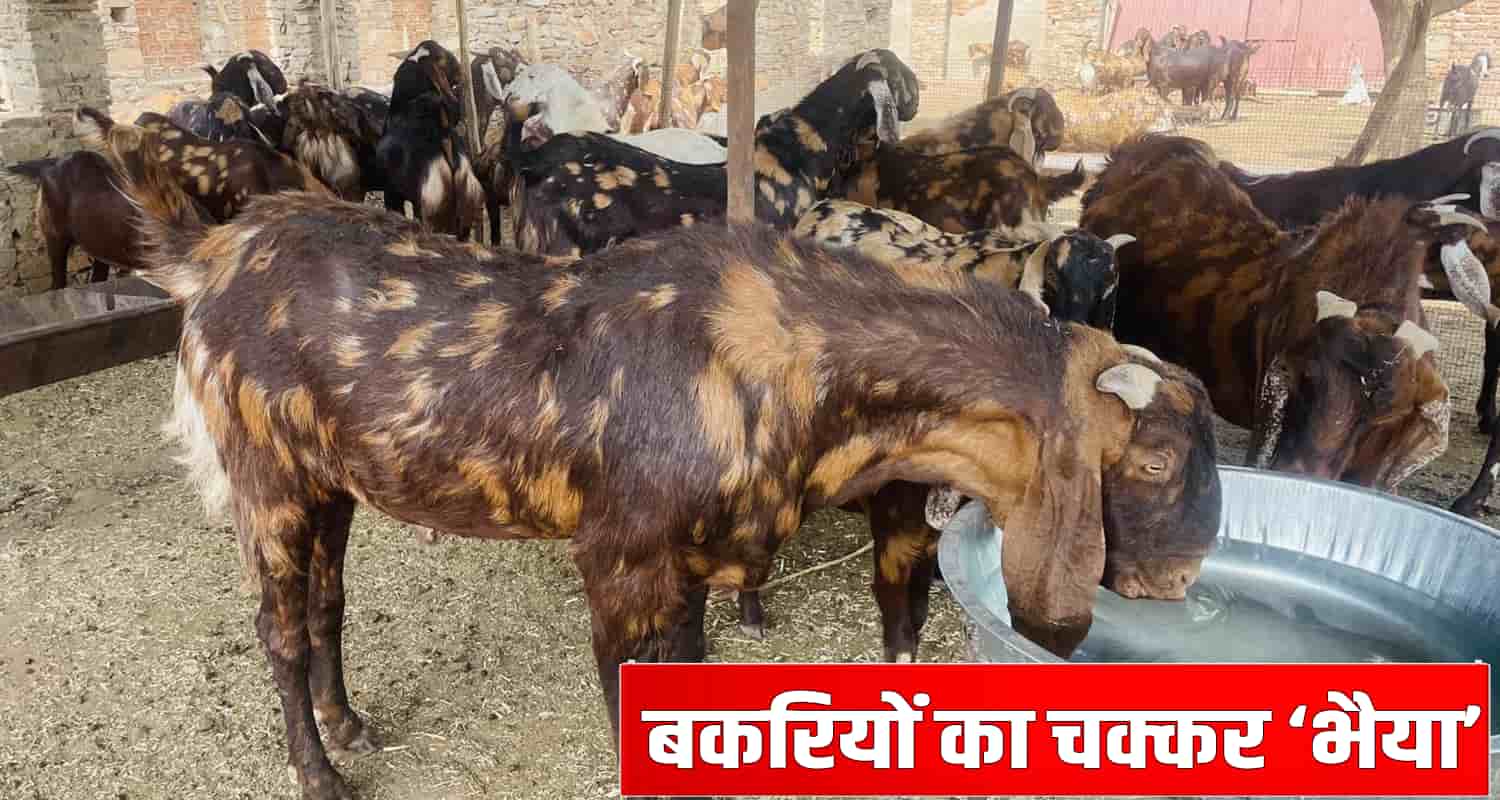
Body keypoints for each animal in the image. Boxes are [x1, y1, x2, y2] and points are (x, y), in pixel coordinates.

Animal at [84, 109, 1223, 799]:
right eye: (1155, 460)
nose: (1176, 582)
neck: (796, 360)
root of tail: (212, 250)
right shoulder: (622, 559)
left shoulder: (688, 563)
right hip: (265, 478)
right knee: (276, 626)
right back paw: (318, 769)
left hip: (329, 482)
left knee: (325, 603)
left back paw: (350, 722)